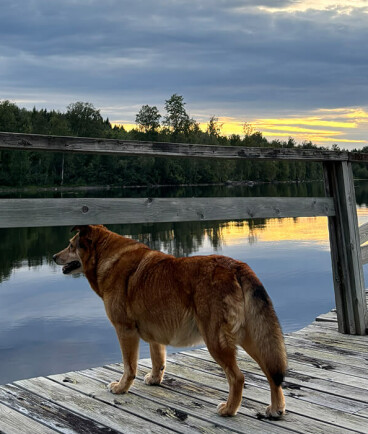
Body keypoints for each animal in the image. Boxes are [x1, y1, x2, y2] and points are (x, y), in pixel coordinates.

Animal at [52, 224, 288, 418]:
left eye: (71, 245)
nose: (53, 256)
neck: (107, 257)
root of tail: (236, 266)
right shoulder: (154, 334)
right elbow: (158, 361)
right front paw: (155, 380)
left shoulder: (125, 330)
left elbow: (129, 367)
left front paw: (121, 388)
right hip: (252, 337)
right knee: (271, 372)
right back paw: (276, 409)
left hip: (216, 341)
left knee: (238, 378)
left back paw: (229, 410)